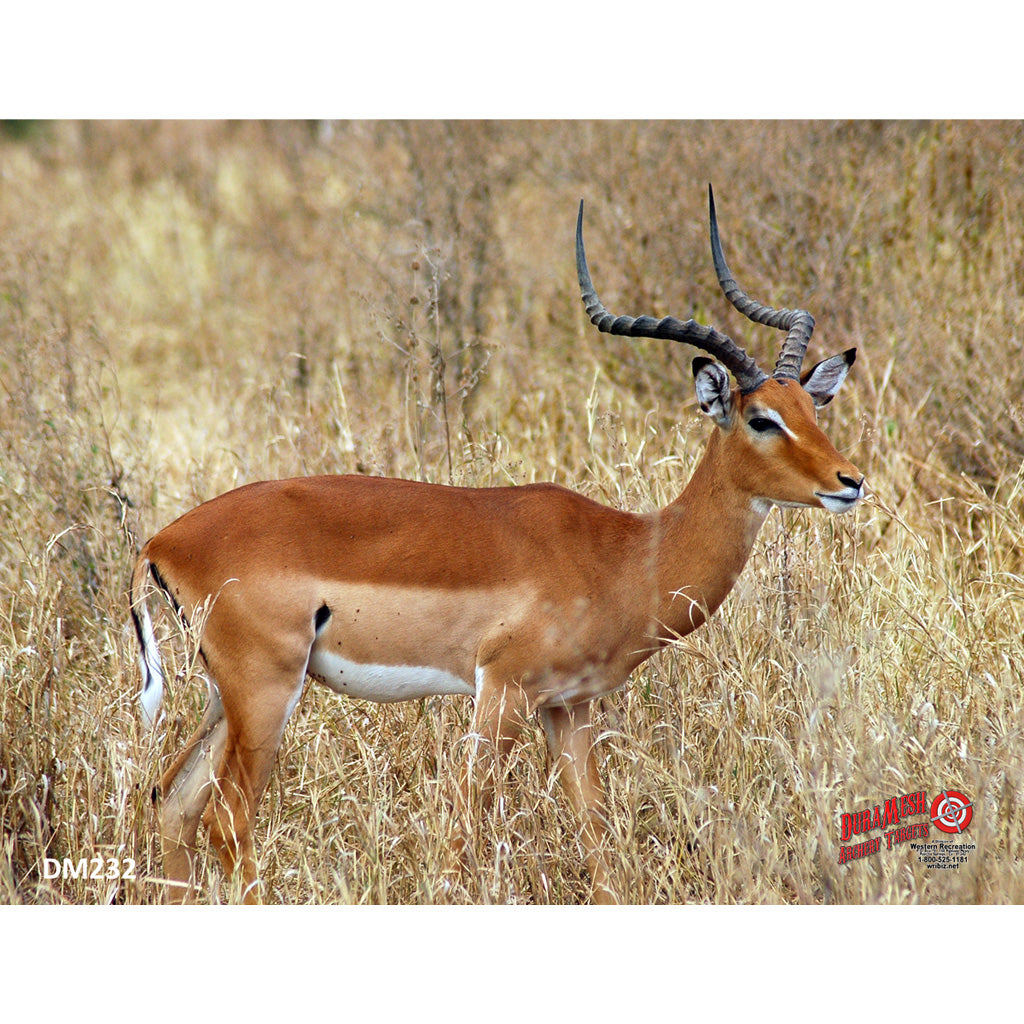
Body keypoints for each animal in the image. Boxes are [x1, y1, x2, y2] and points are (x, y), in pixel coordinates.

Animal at [129, 186, 864, 904]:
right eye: (761, 419)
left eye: (811, 409)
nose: (850, 482)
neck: (626, 552)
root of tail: (162, 541)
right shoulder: (503, 693)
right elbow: (463, 832)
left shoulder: (569, 708)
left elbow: (597, 840)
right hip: (266, 691)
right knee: (228, 818)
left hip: (227, 697)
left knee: (172, 802)